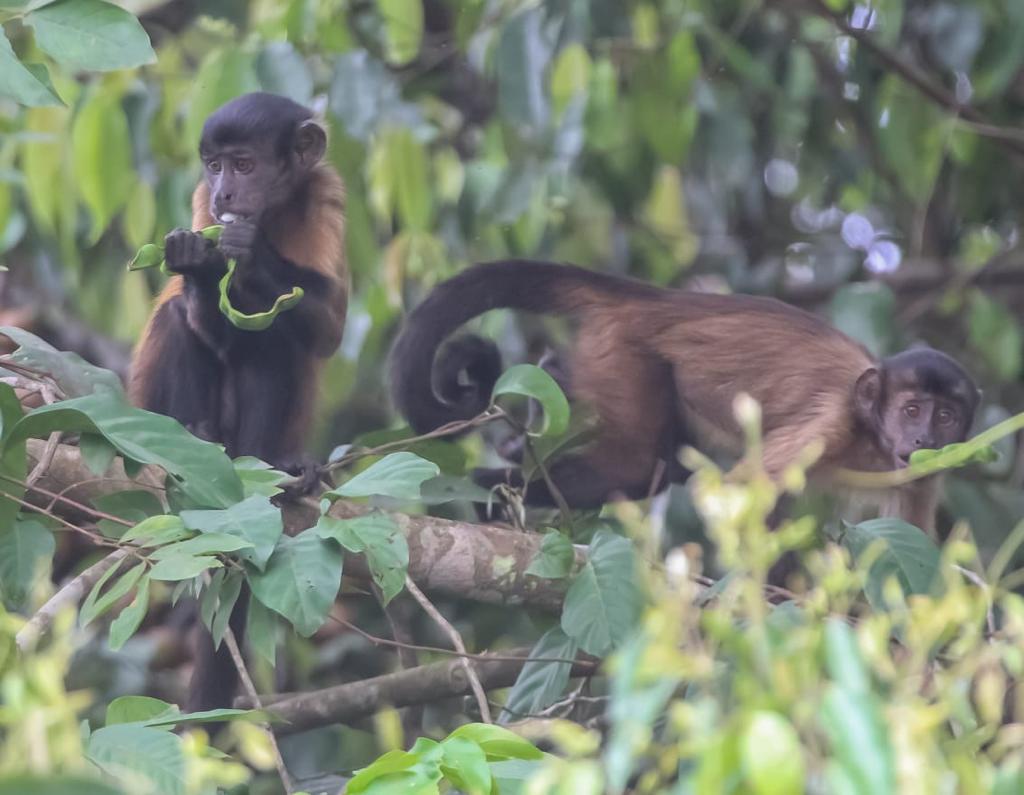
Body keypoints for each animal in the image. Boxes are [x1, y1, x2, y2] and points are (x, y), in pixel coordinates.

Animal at [126, 91, 352, 713]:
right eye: (213, 166)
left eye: (244, 166)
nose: (225, 194)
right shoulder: (198, 204)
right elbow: (203, 319)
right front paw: (197, 261)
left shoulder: (327, 195)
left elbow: (327, 328)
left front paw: (248, 255)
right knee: (182, 321)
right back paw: (199, 437)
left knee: (271, 344)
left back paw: (277, 467)